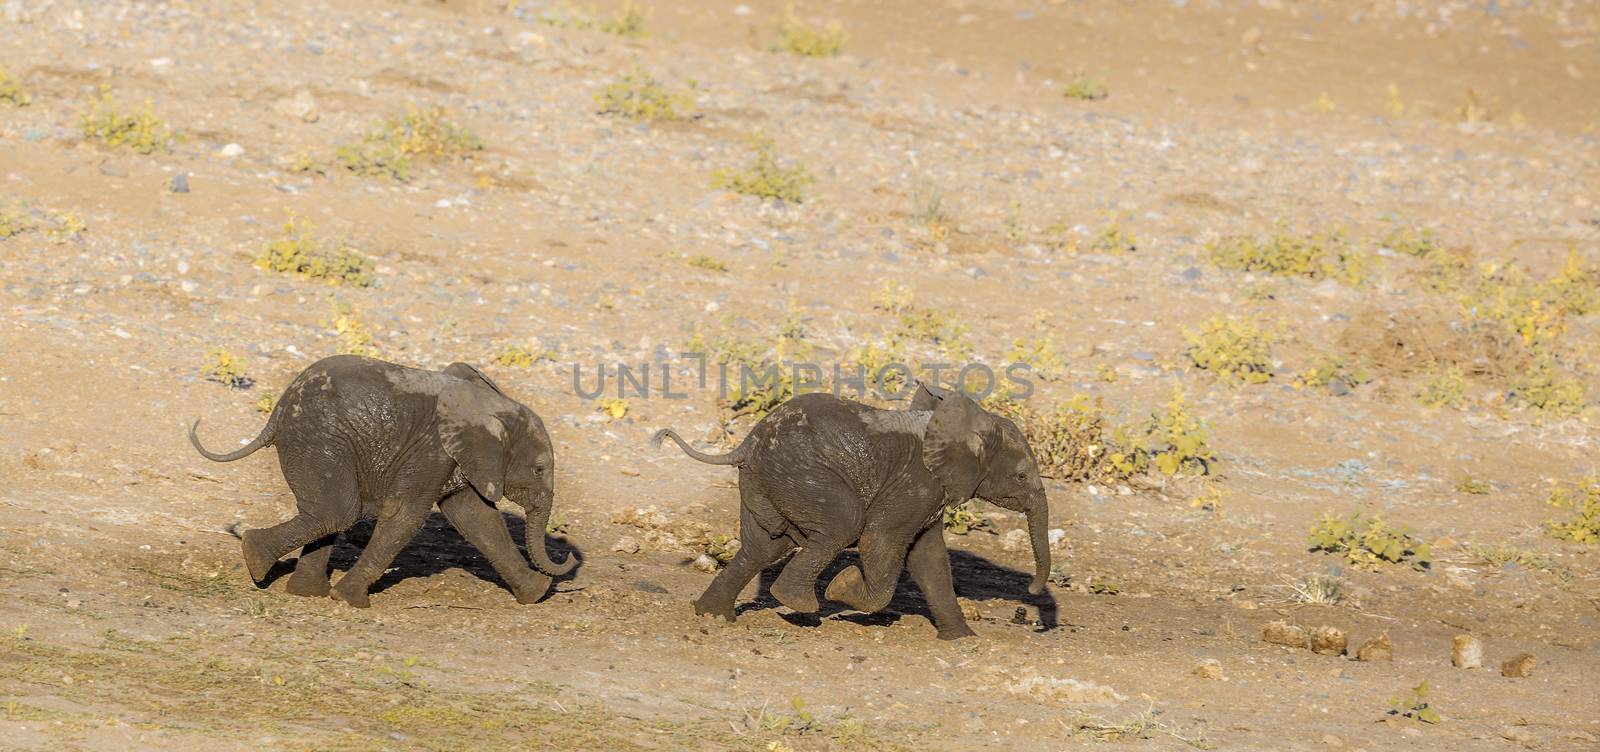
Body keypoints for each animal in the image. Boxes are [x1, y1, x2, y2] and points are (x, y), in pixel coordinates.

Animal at [189, 355, 576, 608]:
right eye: (539, 469)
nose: (568, 559)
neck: (490, 404)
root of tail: (277, 412)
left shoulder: (459, 458)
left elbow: (476, 518)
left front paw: (536, 593)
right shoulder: (432, 450)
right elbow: (405, 514)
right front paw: (350, 600)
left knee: (329, 513)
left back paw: (303, 591)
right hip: (321, 439)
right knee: (337, 512)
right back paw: (256, 561)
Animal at [649, 385, 1049, 636]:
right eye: (1021, 475)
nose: (1031, 589)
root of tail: (746, 443)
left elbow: (929, 558)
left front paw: (963, 640)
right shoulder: (916, 482)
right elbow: (881, 540)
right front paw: (843, 587)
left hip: (763, 482)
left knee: (763, 547)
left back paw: (713, 615)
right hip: (802, 474)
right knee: (842, 525)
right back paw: (802, 604)